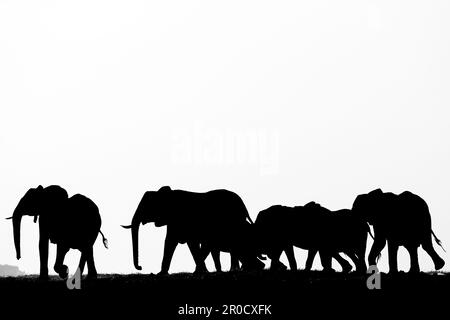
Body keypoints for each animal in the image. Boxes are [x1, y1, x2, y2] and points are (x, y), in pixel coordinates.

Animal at [121, 186, 266, 274]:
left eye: (147, 207)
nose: (140, 267)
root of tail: (244, 205)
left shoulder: (179, 218)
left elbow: (174, 242)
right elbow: (180, 243)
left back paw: (235, 270)